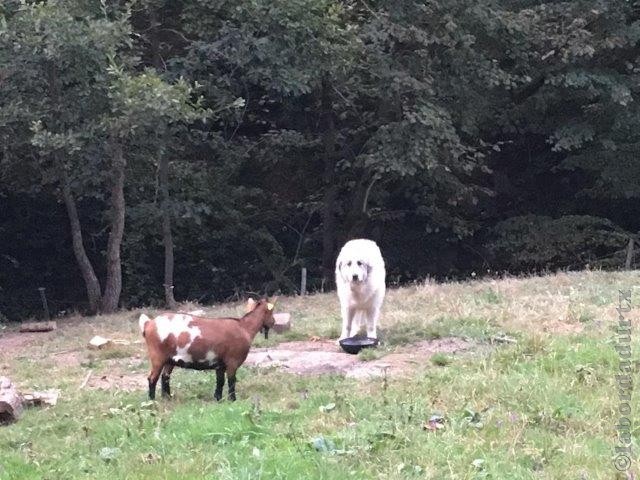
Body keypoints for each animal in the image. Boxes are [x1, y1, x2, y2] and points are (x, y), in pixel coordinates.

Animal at [140, 300, 276, 402]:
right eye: (271, 311)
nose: (273, 322)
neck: (244, 327)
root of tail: (149, 324)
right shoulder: (232, 361)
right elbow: (231, 380)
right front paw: (233, 400)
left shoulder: (220, 364)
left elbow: (220, 381)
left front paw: (218, 399)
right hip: (157, 357)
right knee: (152, 378)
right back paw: (152, 401)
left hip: (170, 360)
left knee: (165, 376)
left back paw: (167, 398)